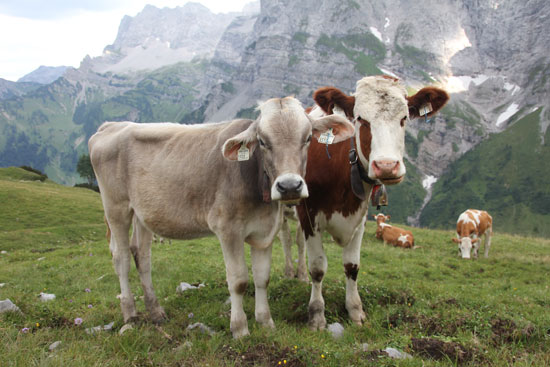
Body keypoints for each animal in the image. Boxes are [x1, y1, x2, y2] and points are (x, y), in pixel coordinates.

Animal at [88, 98, 356, 340]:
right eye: (262, 141)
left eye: (308, 138)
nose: (289, 186)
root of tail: (111, 126)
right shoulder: (228, 229)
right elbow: (238, 281)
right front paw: (240, 329)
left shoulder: (265, 232)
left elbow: (262, 278)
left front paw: (265, 322)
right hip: (116, 208)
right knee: (121, 258)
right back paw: (130, 314)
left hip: (143, 214)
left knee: (142, 256)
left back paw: (156, 312)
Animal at [298, 76, 448, 332]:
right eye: (360, 118)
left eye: (404, 118)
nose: (386, 166)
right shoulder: (308, 213)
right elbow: (318, 268)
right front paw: (316, 315)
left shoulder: (360, 218)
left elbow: (352, 266)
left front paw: (355, 311)